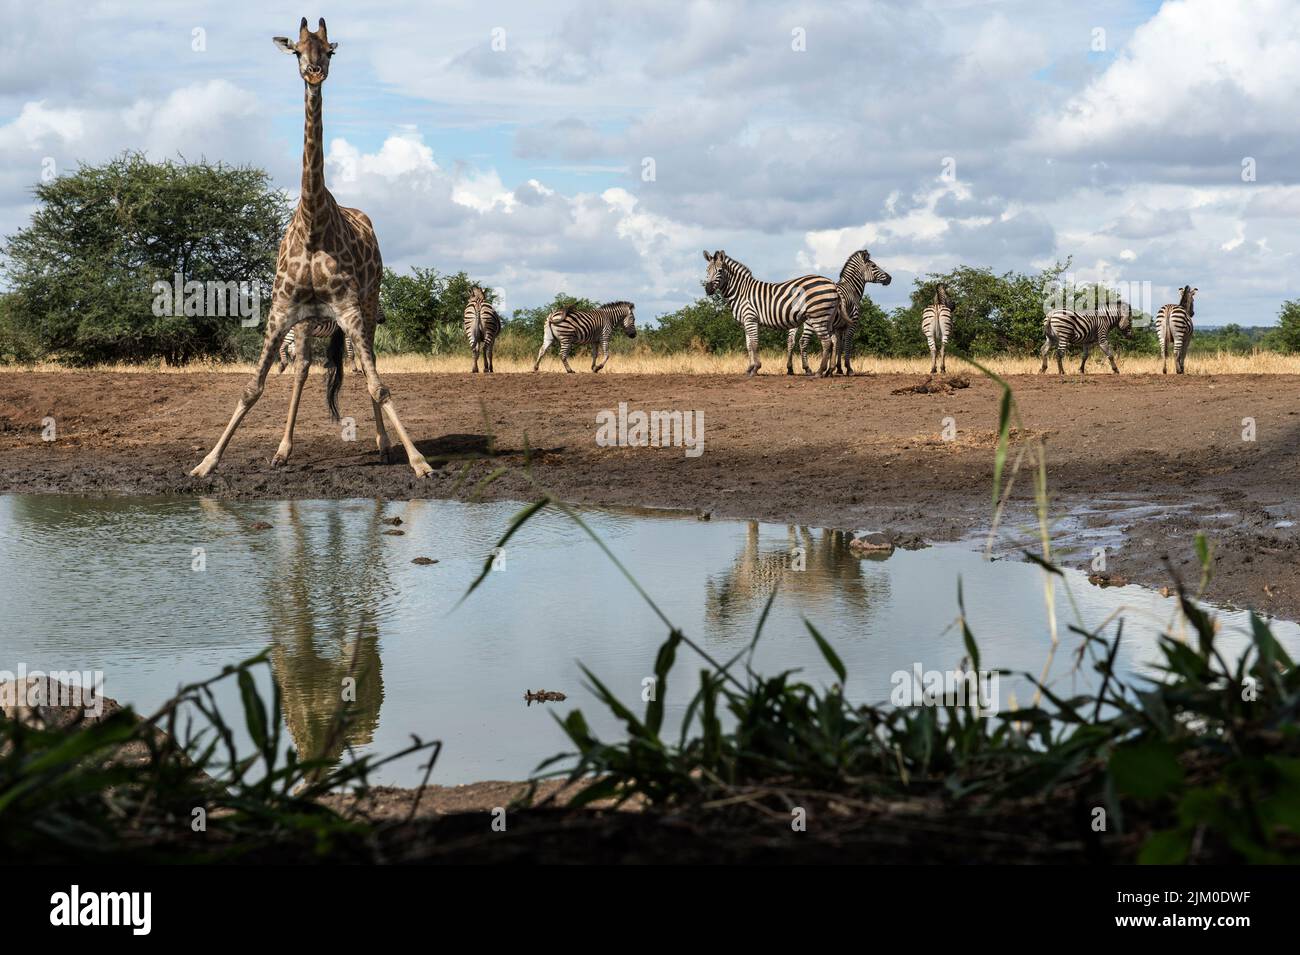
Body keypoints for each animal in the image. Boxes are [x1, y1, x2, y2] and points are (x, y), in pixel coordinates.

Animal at [188, 14, 434, 478]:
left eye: (330, 50)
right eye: (298, 51)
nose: (315, 72)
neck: (314, 226)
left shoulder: (351, 307)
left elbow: (379, 385)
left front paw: (418, 460)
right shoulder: (281, 309)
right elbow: (252, 387)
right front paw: (207, 462)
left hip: (369, 304)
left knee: (365, 369)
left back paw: (383, 445)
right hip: (306, 320)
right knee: (303, 368)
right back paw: (283, 450)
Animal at [707, 250, 837, 376]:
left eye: (720, 270)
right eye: (707, 270)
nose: (707, 289)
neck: (741, 291)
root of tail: (831, 282)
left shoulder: (750, 318)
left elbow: (754, 343)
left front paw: (756, 368)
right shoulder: (746, 321)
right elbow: (748, 345)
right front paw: (749, 368)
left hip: (817, 316)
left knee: (826, 342)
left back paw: (819, 372)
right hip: (828, 318)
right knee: (832, 342)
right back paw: (827, 372)